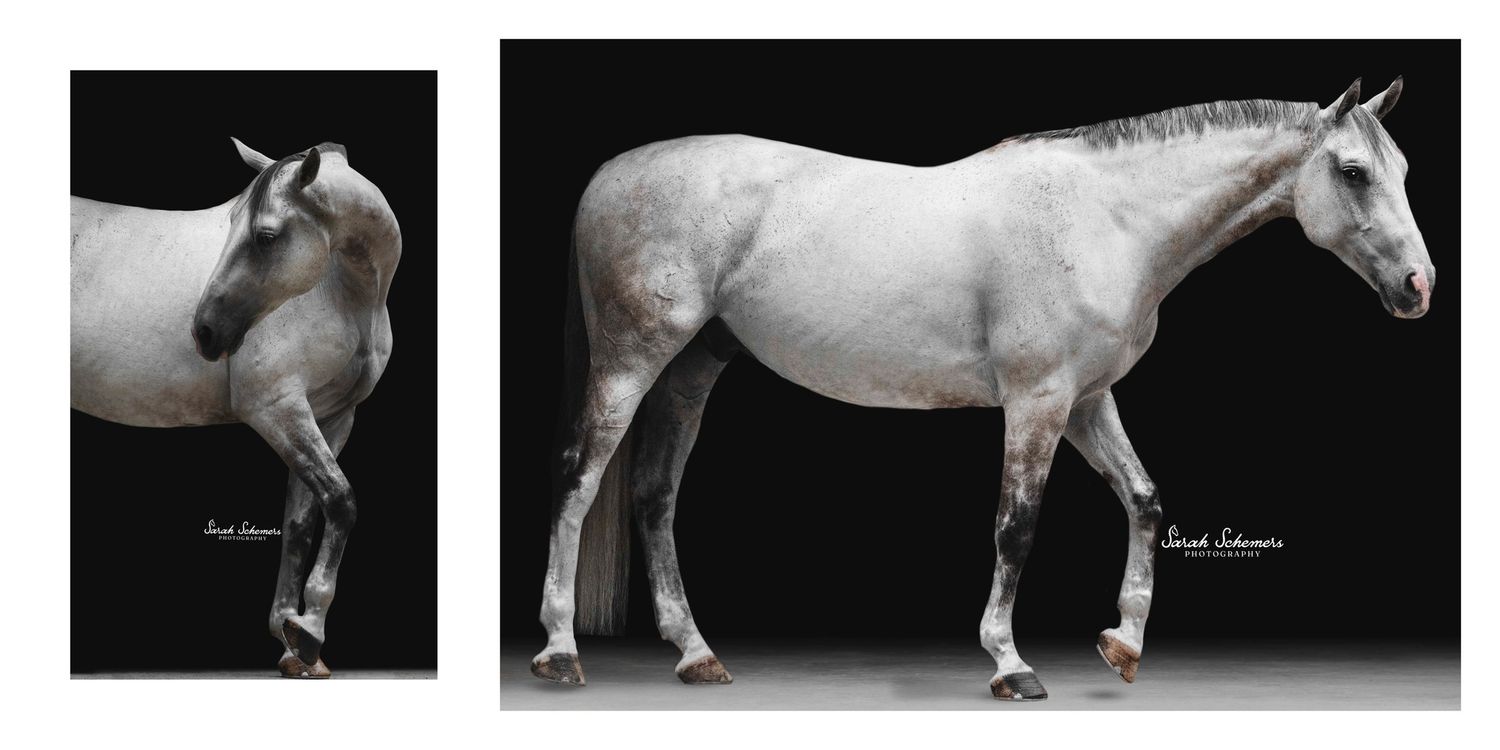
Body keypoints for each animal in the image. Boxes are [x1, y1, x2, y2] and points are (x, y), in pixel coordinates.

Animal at [70, 139, 402, 678]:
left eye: (265, 237)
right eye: (230, 226)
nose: (205, 331)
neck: (342, 291)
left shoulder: (333, 417)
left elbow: (300, 523)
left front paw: (293, 644)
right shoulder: (277, 408)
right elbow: (341, 502)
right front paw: (309, 632)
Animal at [531, 77, 1432, 700]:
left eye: (1402, 168)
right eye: (1353, 171)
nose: (1419, 286)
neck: (1106, 218)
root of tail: (609, 171)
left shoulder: (1087, 401)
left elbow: (1144, 500)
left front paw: (1125, 643)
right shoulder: (1037, 402)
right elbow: (1016, 526)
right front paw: (1010, 663)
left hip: (692, 369)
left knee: (653, 496)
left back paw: (696, 654)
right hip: (631, 361)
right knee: (578, 481)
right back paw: (561, 651)